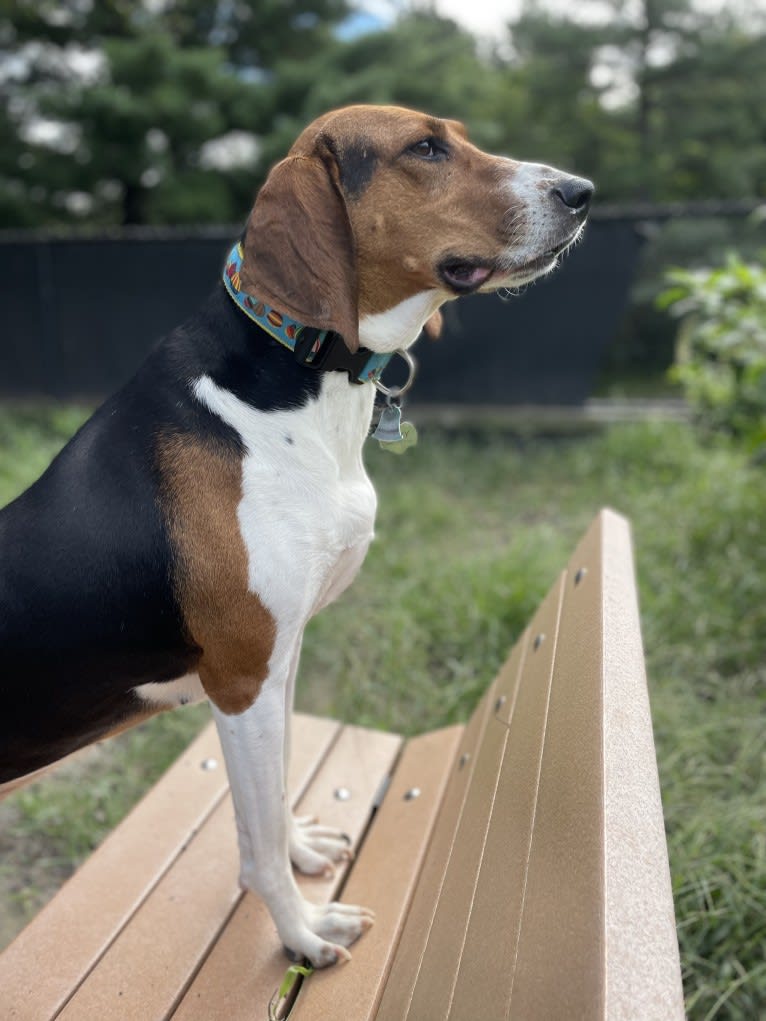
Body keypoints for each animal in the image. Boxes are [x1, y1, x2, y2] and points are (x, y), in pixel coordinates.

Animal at [0, 103, 592, 963]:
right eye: (424, 148)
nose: (582, 192)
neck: (301, 371)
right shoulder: (242, 679)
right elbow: (257, 838)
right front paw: (301, 932)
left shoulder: (283, 660)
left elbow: (275, 805)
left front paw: (303, 853)